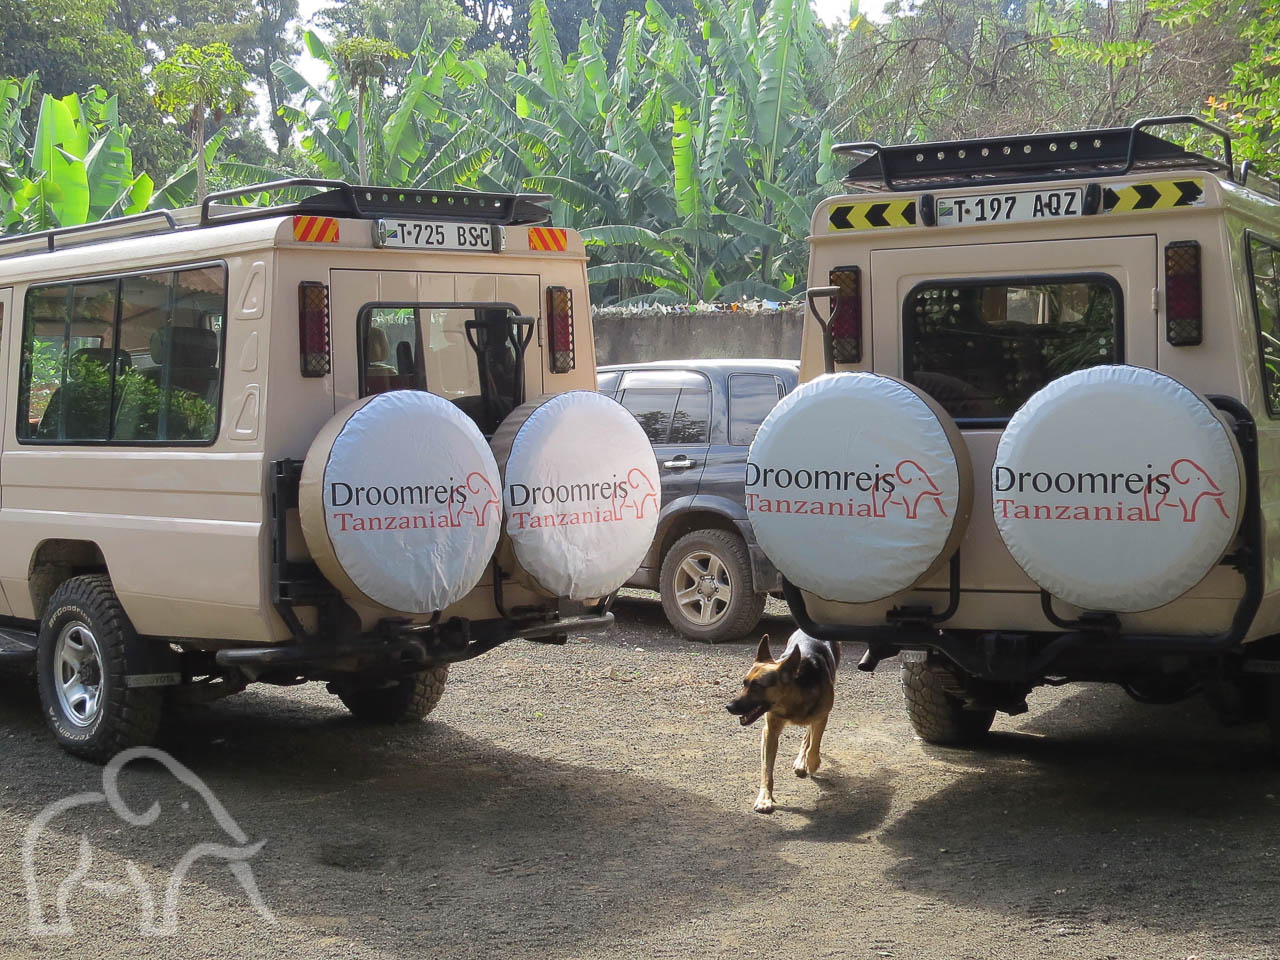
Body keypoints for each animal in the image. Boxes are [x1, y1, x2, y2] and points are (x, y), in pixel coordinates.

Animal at [732, 634, 839, 814]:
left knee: (808, 737)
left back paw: (803, 760)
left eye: (757, 686)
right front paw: (764, 798)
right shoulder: (770, 731)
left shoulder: (821, 717)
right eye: (744, 683)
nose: (729, 706)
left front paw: (812, 762)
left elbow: (814, 745)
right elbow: (767, 769)